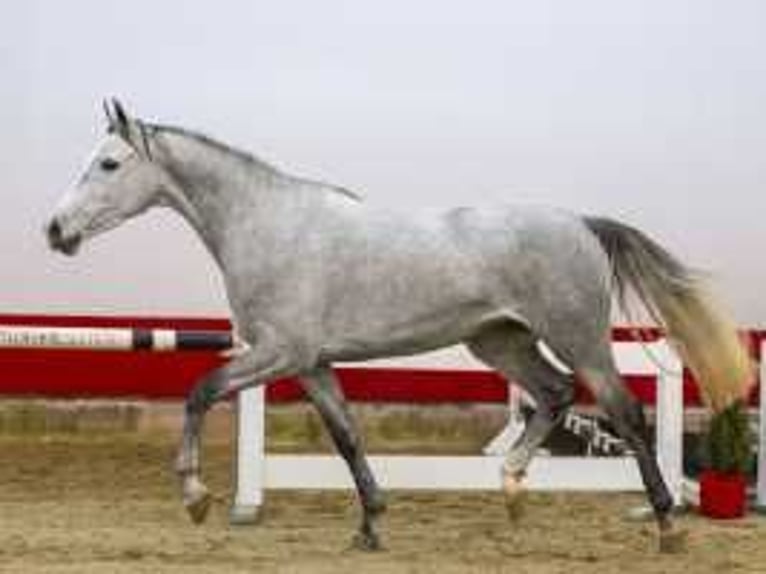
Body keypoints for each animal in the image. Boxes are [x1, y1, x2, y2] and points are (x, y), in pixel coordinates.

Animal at [46, 101, 752, 556]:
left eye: (108, 164)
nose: (56, 231)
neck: (269, 225)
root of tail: (582, 223)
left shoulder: (278, 352)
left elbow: (200, 391)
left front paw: (194, 498)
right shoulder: (311, 363)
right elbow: (347, 436)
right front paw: (370, 526)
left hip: (577, 338)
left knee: (624, 412)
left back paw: (667, 525)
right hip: (499, 339)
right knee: (554, 395)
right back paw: (513, 489)